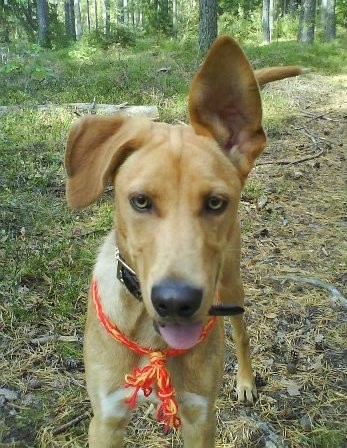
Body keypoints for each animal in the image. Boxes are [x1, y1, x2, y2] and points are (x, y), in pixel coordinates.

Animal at [64, 36, 302, 446]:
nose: (176, 302)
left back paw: (245, 381)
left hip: (232, 282)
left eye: (216, 202)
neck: (152, 337)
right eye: (140, 201)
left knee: (241, 333)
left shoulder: (200, 416)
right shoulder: (106, 419)